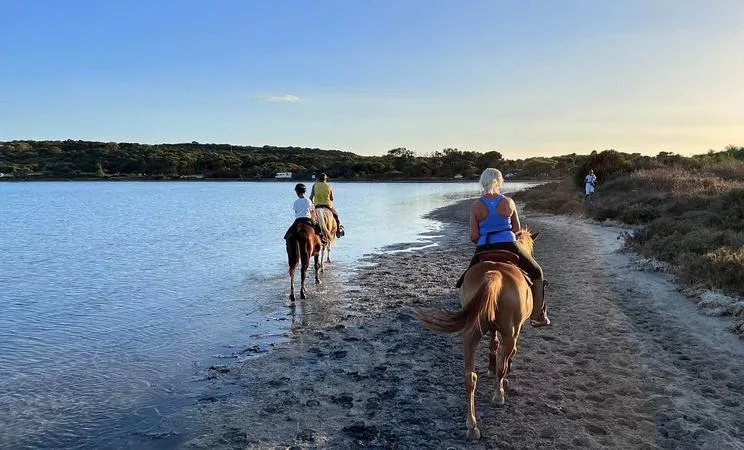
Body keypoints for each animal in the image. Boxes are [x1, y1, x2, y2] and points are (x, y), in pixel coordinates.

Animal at [414, 229, 542, 440]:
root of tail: (495, 273)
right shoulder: (515, 331)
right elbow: (508, 356)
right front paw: (505, 378)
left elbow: (493, 345)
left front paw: (490, 368)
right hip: (509, 332)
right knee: (502, 365)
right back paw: (498, 395)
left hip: (471, 332)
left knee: (470, 378)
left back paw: (472, 426)